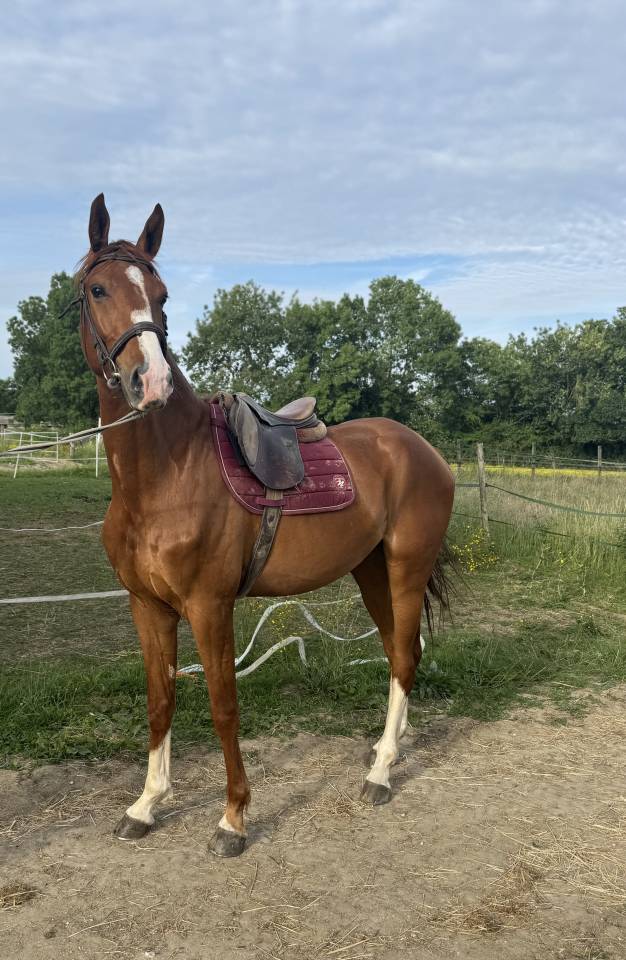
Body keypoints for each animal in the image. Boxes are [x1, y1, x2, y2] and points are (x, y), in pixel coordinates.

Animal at [75, 193, 455, 858]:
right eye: (97, 289)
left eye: (162, 294)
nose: (152, 382)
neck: (168, 474)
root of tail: (423, 449)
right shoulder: (147, 606)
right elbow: (160, 700)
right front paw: (146, 805)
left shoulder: (210, 605)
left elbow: (223, 705)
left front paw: (233, 819)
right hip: (372, 573)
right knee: (397, 652)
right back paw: (388, 751)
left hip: (407, 570)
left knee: (405, 660)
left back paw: (380, 775)